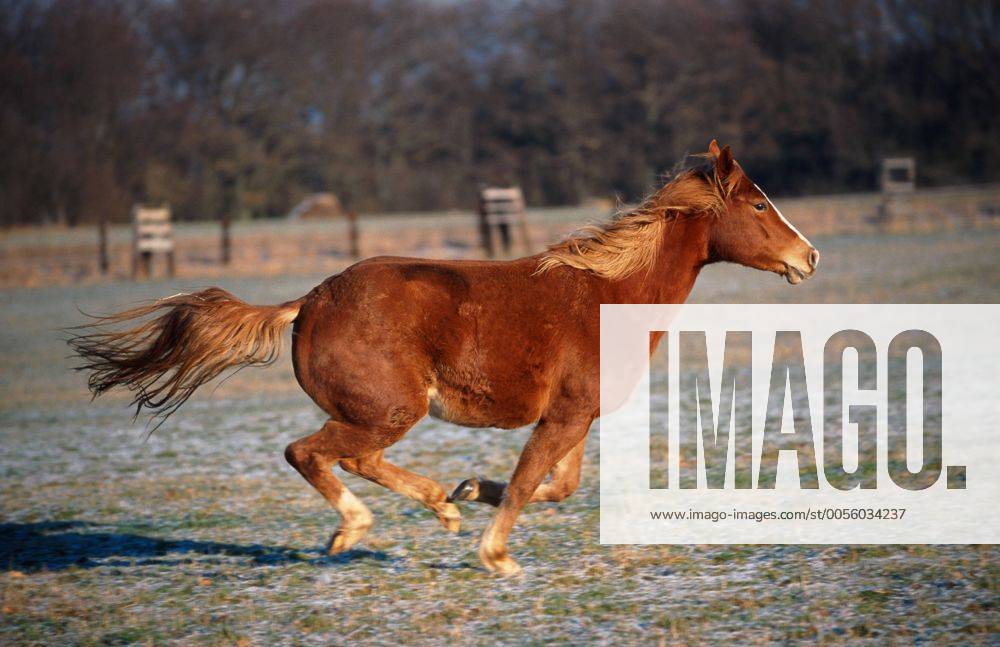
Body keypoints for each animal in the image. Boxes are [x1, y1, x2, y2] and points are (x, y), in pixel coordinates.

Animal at [70, 140, 819, 575]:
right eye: (759, 204)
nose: (808, 256)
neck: (606, 293)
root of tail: (308, 302)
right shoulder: (565, 415)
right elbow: (528, 483)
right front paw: (497, 555)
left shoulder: (576, 416)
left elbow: (556, 485)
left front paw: (468, 491)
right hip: (388, 407)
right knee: (309, 452)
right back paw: (354, 528)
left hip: (382, 412)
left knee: (352, 457)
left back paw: (440, 506)